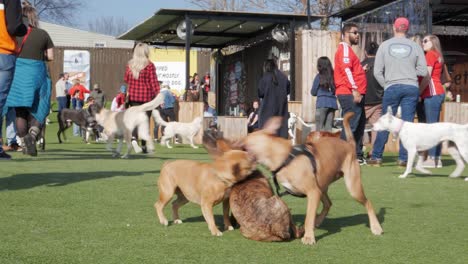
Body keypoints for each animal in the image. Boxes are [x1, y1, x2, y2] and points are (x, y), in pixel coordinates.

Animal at [241, 112, 384, 245]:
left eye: (243, 145)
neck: (286, 158)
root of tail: (350, 145)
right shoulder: (315, 191)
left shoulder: (313, 193)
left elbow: (309, 217)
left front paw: (309, 237)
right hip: (322, 186)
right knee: (328, 204)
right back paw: (318, 221)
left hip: (352, 188)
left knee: (367, 203)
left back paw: (376, 227)